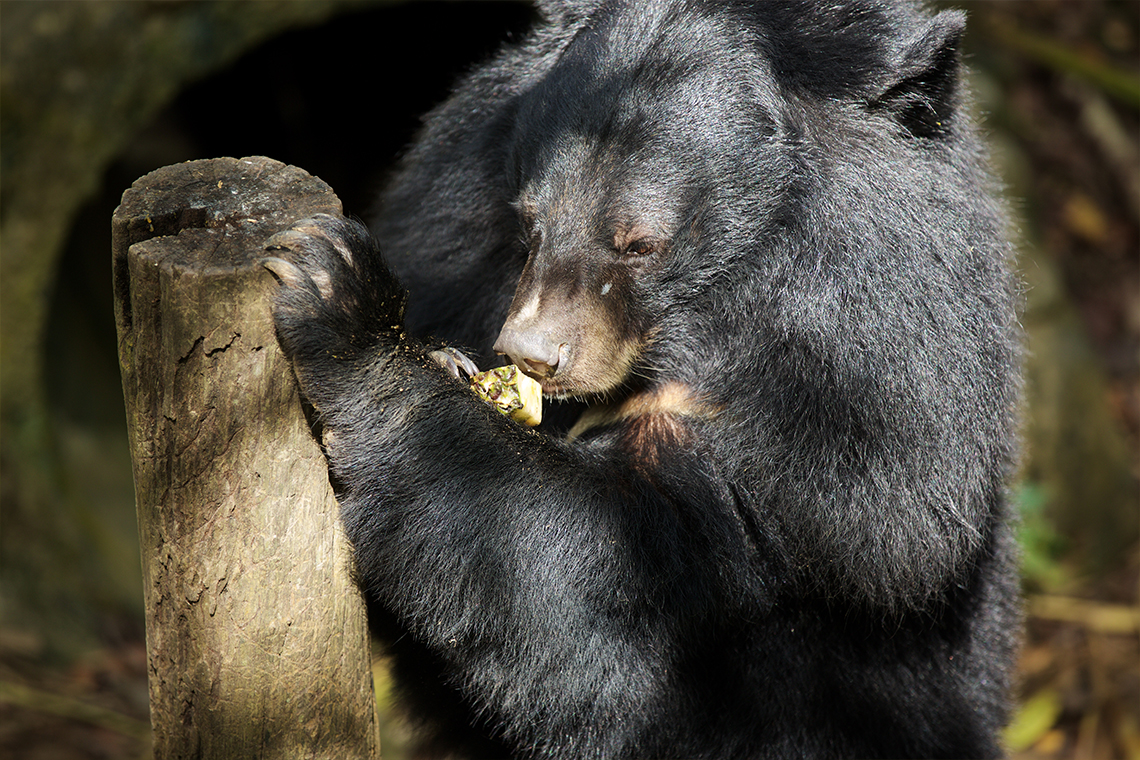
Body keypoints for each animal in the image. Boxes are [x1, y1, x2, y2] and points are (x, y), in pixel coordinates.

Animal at [263, 0, 1023, 757]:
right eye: (530, 220)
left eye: (640, 243)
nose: (533, 354)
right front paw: (449, 359)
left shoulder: (845, 451)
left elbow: (591, 572)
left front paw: (341, 295)